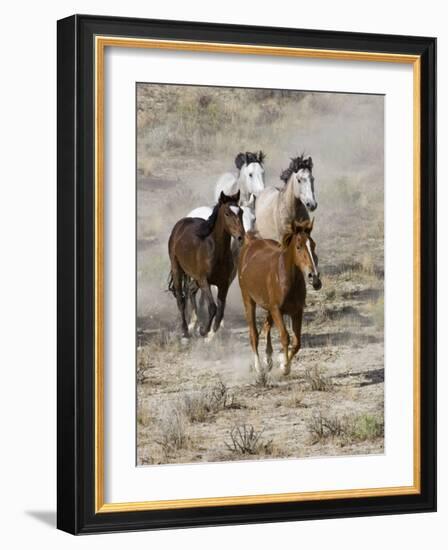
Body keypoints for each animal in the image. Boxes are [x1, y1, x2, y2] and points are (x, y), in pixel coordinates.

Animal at [168, 193, 245, 340]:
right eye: (227, 213)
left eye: (241, 212)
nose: (241, 237)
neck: (216, 251)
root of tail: (181, 224)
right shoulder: (204, 280)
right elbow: (213, 307)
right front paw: (204, 331)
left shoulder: (223, 284)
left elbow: (220, 310)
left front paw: (210, 334)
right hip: (177, 269)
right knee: (181, 299)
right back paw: (185, 331)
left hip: (195, 278)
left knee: (190, 290)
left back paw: (194, 325)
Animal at [238, 220, 322, 376]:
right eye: (298, 246)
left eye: (313, 245)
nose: (314, 278)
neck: (286, 278)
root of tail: (251, 242)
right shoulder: (277, 310)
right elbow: (285, 336)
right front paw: (285, 368)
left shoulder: (297, 311)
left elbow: (297, 342)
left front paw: (282, 363)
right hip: (248, 300)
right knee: (254, 334)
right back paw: (259, 368)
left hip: (268, 307)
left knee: (266, 326)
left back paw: (268, 360)